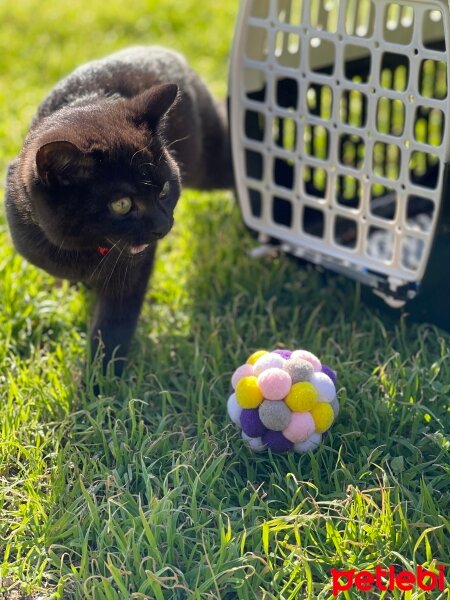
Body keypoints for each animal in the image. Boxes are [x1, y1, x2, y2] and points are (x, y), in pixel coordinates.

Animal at [5, 47, 234, 372]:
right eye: (122, 204)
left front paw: (102, 378)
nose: (164, 225)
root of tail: (160, 50)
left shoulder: (131, 271)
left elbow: (114, 326)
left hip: (208, 162)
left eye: (164, 189)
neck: (86, 249)